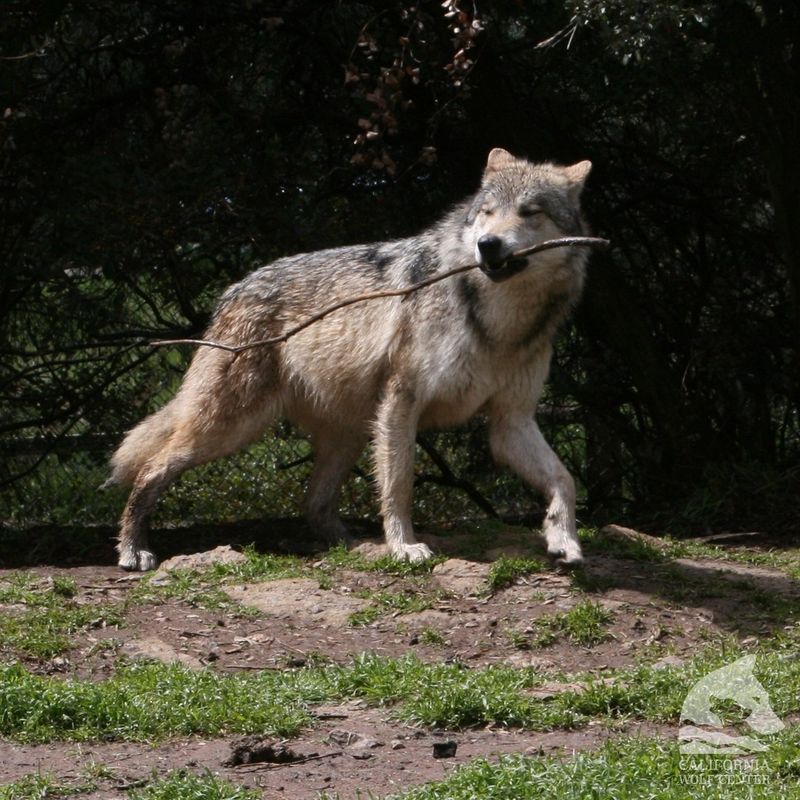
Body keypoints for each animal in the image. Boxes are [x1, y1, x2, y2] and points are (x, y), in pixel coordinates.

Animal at [108, 148, 592, 568]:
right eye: (488, 211)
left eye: (530, 212)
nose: (488, 245)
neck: (497, 322)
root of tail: (233, 291)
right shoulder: (401, 403)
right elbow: (399, 486)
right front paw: (403, 547)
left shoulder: (511, 422)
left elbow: (565, 479)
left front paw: (563, 538)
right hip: (230, 428)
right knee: (150, 469)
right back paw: (133, 550)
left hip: (349, 435)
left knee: (313, 502)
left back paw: (350, 545)